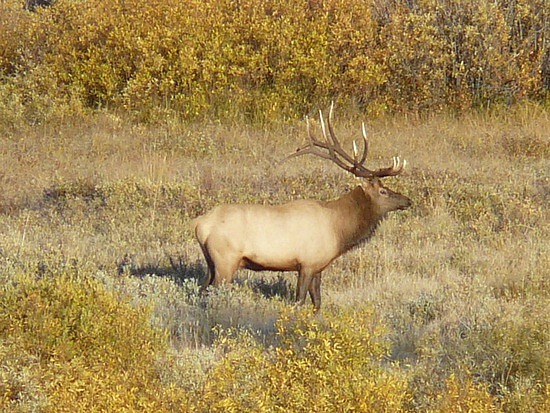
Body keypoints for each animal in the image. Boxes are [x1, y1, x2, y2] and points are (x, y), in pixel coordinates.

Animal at [192, 103, 412, 308]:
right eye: (383, 191)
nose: (407, 200)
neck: (339, 229)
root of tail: (200, 224)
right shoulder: (307, 263)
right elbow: (300, 300)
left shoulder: (318, 267)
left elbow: (317, 302)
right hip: (226, 261)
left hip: (211, 264)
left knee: (201, 290)